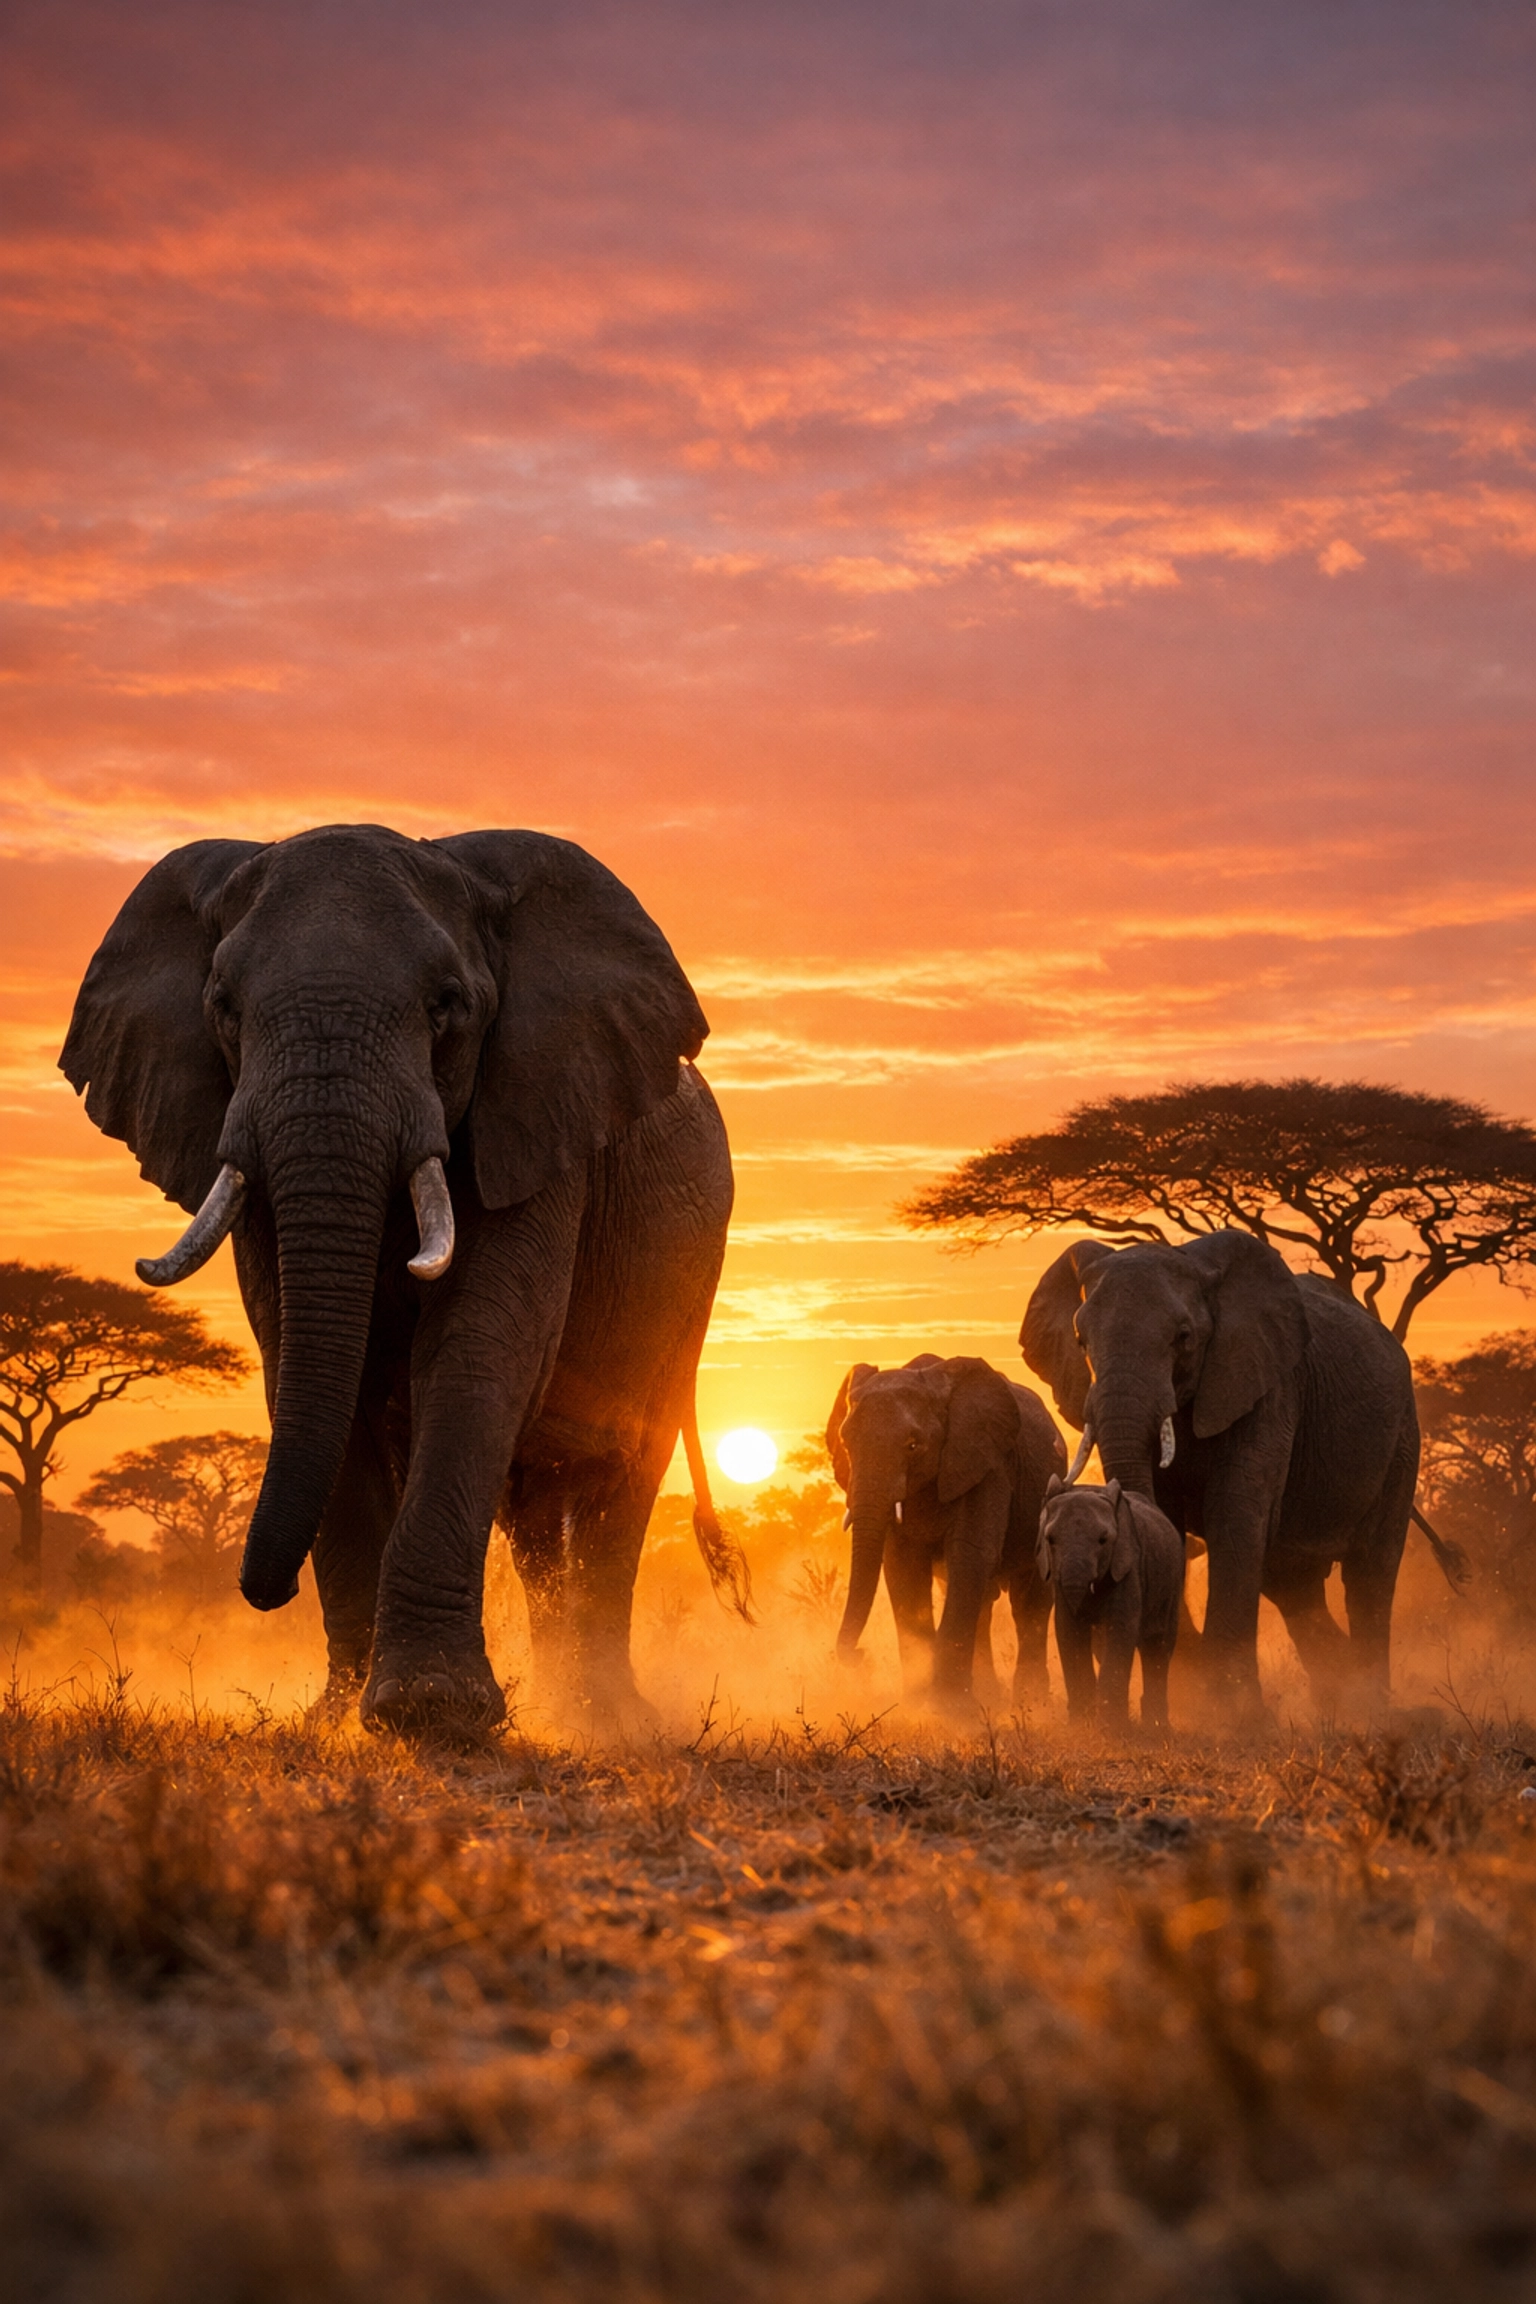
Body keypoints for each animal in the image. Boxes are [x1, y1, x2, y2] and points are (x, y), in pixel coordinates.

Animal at [60, 823, 746, 1735]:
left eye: (446, 1005)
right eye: (224, 1008)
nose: (263, 1591)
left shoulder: (533, 1116)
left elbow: (478, 1350)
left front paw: (433, 1712)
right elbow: (300, 1358)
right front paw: (336, 1722)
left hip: (685, 1275)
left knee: (619, 1477)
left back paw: (605, 1717)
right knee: (534, 1515)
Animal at [826, 1354, 1066, 1709]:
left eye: (913, 1445)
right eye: (846, 1442)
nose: (860, 1655)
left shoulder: (986, 1463)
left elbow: (970, 1554)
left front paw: (949, 1709)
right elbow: (904, 1567)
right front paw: (919, 1704)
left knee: (1029, 1603)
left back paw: (1031, 1704)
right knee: (984, 1603)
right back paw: (992, 1697)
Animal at [1035, 1476, 1184, 1730]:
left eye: (1103, 1540)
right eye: (1050, 1540)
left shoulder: (1128, 1568)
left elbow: (1120, 1630)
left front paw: (1111, 1729)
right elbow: (1068, 1632)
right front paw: (1080, 1727)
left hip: (1172, 1587)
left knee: (1159, 1647)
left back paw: (1156, 1727)